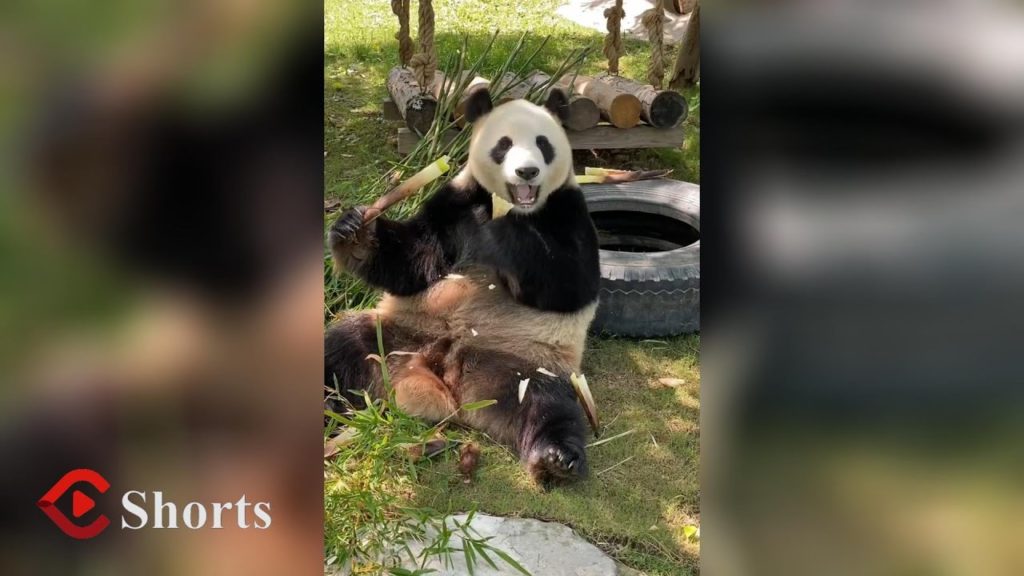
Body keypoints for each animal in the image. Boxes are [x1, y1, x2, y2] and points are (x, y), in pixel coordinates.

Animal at [325, 87, 600, 485]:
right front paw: (353, 230)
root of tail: (450, 383)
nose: (527, 172)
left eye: (543, 143)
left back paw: (556, 458)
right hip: (398, 336)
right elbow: (412, 262)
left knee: (546, 404)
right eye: (504, 144)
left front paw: (506, 236)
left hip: (521, 360)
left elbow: (571, 284)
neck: (507, 206)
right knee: (343, 346)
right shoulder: (455, 202)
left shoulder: (568, 210)